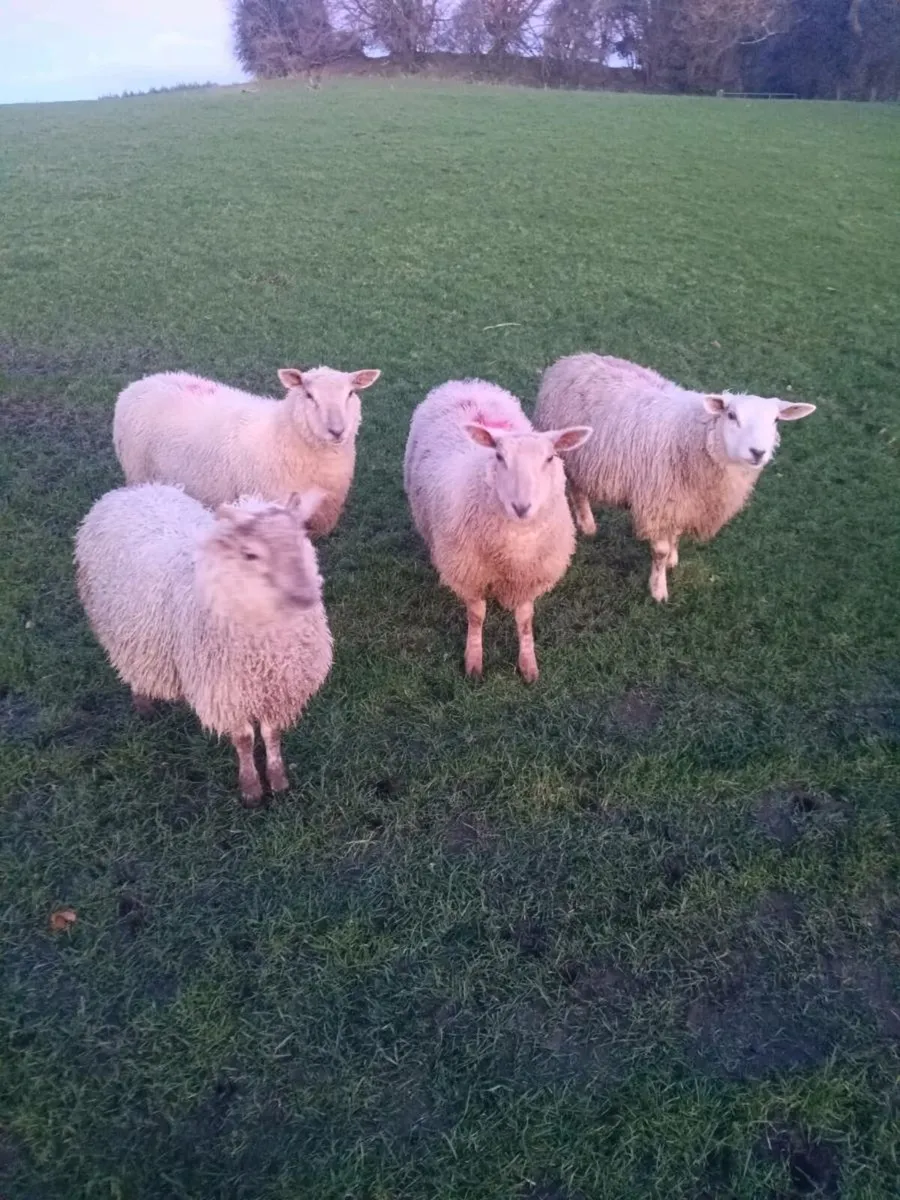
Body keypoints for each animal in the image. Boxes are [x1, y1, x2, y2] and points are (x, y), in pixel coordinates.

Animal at [75, 483, 333, 806]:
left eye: (300, 539)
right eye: (250, 554)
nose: (305, 596)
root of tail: (128, 491)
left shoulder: (276, 689)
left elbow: (271, 734)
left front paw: (278, 781)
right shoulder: (226, 690)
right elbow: (244, 739)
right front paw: (251, 789)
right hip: (120, 632)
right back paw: (144, 705)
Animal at [112, 365, 382, 537]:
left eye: (351, 393)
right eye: (308, 394)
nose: (337, 431)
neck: (281, 433)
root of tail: (144, 381)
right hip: (138, 470)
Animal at [404, 378, 592, 682]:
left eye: (551, 458)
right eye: (500, 456)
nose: (521, 506)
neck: (514, 550)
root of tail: (465, 383)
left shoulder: (530, 578)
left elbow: (525, 620)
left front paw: (528, 665)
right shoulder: (470, 573)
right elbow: (476, 616)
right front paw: (473, 660)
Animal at [534, 354, 816, 602]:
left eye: (776, 420)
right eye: (731, 415)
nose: (758, 452)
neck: (696, 435)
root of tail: (572, 359)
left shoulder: (682, 500)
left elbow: (676, 535)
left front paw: (672, 559)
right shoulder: (660, 500)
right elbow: (659, 551)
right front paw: (658, 589)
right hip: (570, 456)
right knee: (577, 490)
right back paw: (588, 524)